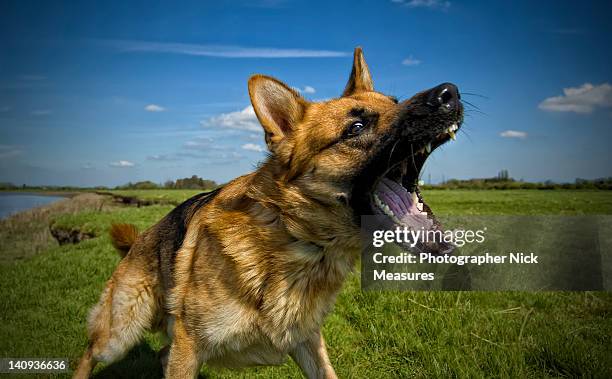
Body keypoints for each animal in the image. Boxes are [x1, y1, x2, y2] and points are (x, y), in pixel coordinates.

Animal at [74, 48, 462, 379]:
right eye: (356, 128)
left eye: (395, 102)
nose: (450, 93)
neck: (295, 237)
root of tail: (140, 240)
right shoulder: (189, 345)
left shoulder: (307, 342)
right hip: (121, 333)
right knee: (90, 352)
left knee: (158, 355)